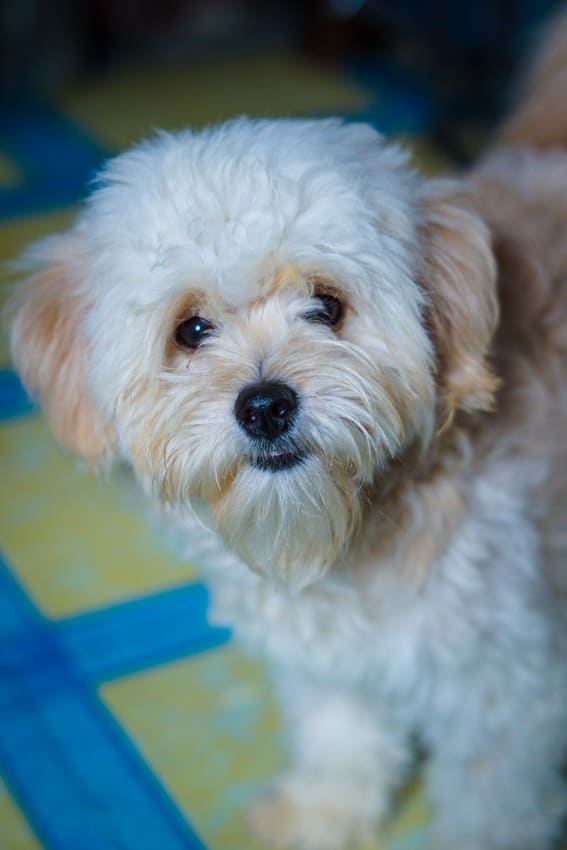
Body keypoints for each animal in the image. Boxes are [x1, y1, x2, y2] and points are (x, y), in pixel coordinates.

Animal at [4, 13, 567, 848]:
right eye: (190, 329)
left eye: (327, 306)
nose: (266, 406)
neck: (351, 533)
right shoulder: (325, 655)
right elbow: (342, 733)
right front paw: (321, 812)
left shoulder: (501, 695)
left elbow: (487, 813)